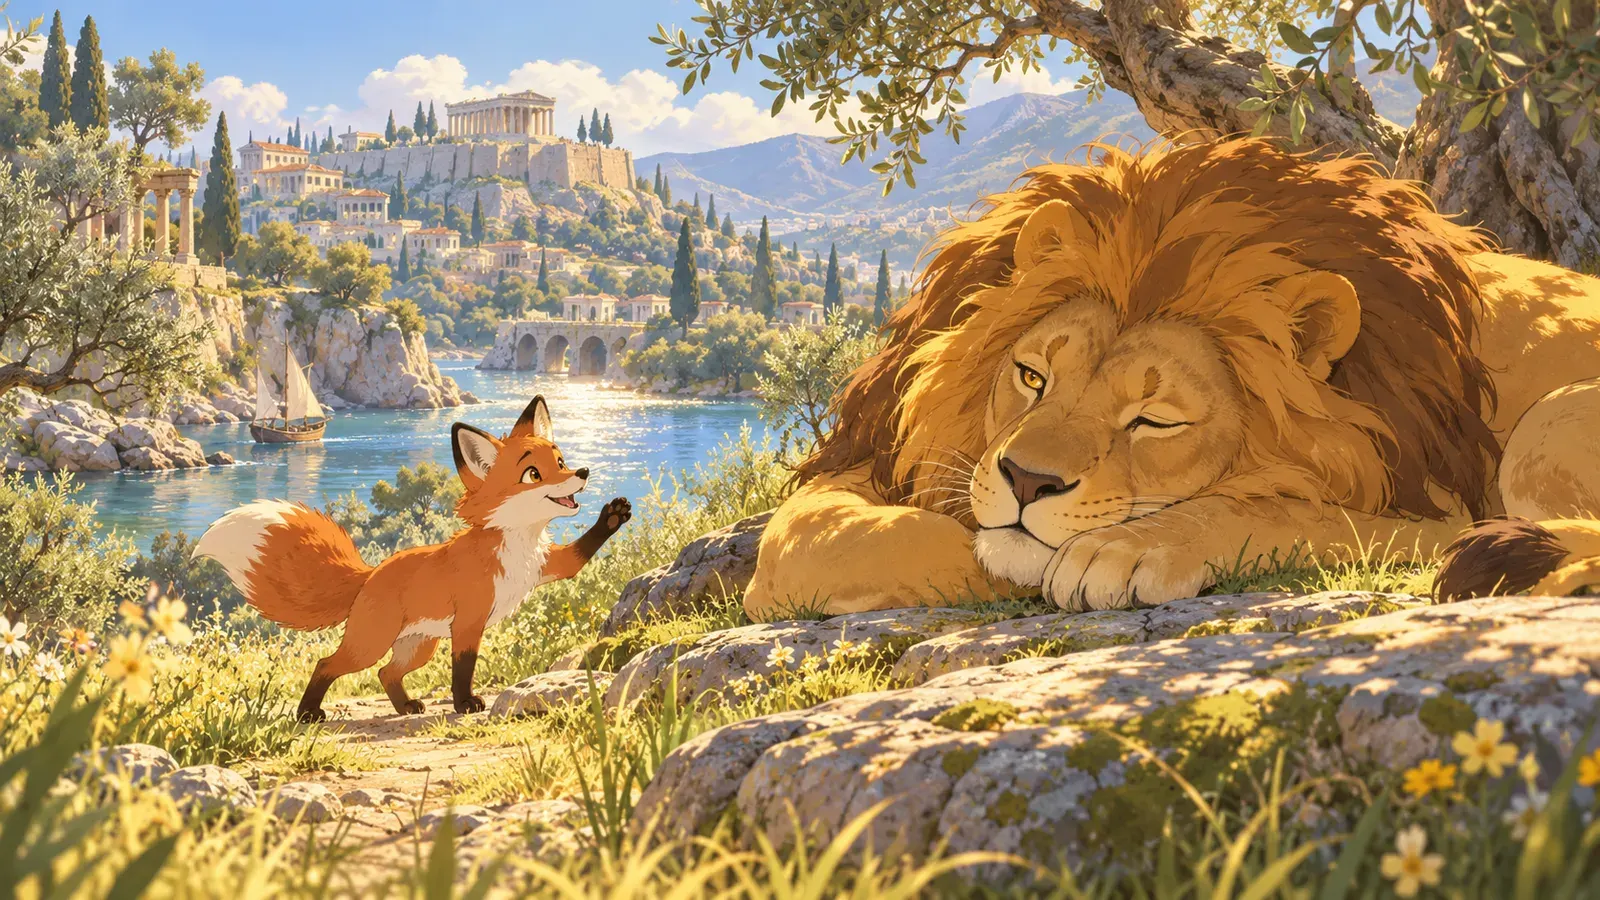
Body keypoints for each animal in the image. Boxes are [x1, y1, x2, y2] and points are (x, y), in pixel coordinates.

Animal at [193, 395, 632, 722]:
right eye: (532, 475)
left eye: (559, 462)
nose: (583, 471)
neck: (517, 541)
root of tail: (370, 574)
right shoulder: (469, 620)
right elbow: (463, 669)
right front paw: (465, 704)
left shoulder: (546, 566)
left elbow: (578, 556)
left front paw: (613, 515)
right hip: (372, 643)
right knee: (326, 664)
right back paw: (308, 713)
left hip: (417, 648)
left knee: (386, 672)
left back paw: (404, 706)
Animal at [742, 138, 1600, 618]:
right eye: (1031, 377)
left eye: (1153, 422)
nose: (1026, 481)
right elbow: (815, 538)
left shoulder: (1440, 508)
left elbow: (1283, 511)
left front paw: (1123, 549)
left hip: (1544, 428)